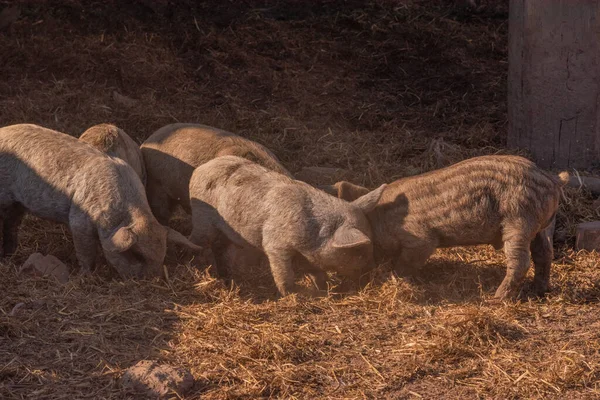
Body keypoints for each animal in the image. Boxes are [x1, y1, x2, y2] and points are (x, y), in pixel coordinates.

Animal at [0, 124, 202, 278]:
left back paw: (10, 253)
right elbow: (85, 251)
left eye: (162, 256)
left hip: (17, 203)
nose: (152, 279)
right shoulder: (79, 220)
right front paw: (85, 275)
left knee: (11, 223)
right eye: (137, 255)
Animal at [188, 156, 384, 296]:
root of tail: (200, 169)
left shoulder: (306, 255)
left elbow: (315, 271)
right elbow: (283, 272)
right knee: (198, 240)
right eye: (358, 252)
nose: (372, 272)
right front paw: (294, 295)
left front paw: (324, 288)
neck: (313, 236)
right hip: (201, 217)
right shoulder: (275, 244)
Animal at [354, 155, 568, 298]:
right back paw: (538, 291)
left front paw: (397, 276)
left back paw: (496, 297)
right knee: (545, 254)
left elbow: (407, 262)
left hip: (519, 221)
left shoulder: (421, 239)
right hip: (543, 226)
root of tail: (552, 179)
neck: (383, 219)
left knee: (521, 261)